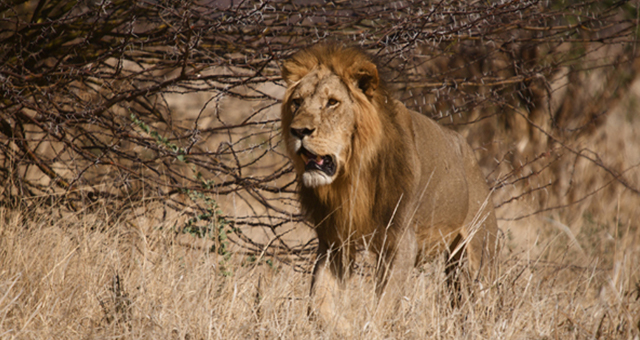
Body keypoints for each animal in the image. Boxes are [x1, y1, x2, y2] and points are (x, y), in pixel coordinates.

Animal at [282, 43, 500, 332]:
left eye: (332, 103)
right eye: (297, 102)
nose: (298, 131)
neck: (353, 176)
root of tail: (468, 151)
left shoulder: (401, 241)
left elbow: (383, 306)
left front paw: (368, 330)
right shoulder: (334, 242)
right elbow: (317, 306)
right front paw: (344, 328)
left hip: (478, 253)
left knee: (485, 301)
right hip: (454, 267)